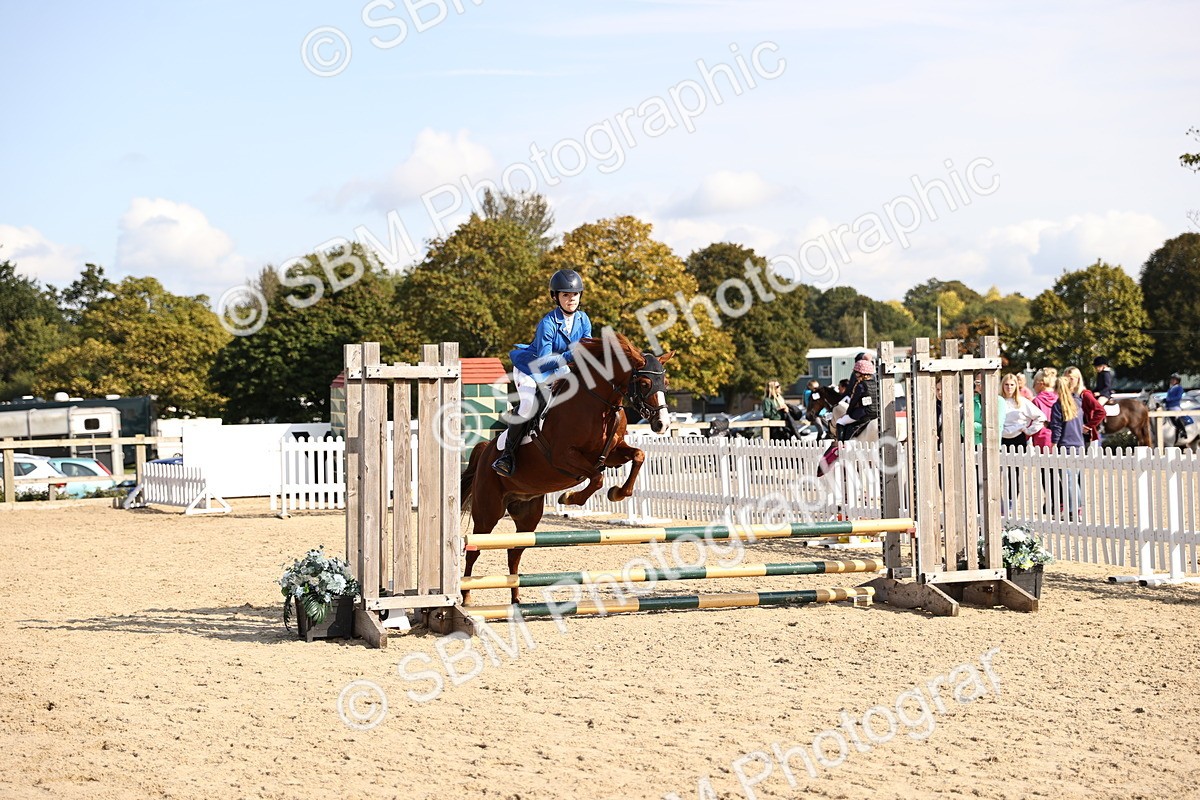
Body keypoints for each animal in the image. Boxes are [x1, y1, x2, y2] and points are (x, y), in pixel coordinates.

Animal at [459, 331, 674, 604]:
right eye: (645, 383)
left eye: (664, 382)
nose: (662, 424)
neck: (599, 403)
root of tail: (485, 449)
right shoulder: (562, 456)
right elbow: (597, 478)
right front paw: (571, 497)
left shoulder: (612, 454)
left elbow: (638, 455)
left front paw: (617, 493)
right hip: (488, 512)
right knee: (474, 549)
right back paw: (466, 598)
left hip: (527, 515)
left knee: (514, 552)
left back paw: (516, 600)